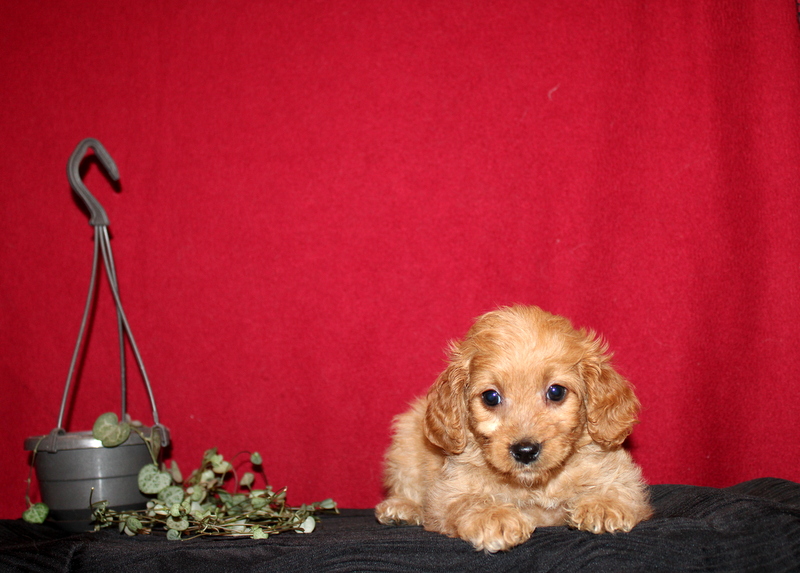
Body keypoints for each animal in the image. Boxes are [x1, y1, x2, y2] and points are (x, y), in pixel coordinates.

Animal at [376, 304, 648, 548]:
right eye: (491, 397)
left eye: (556, 392)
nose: (525, 450)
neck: (534, 485)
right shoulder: (448, 492)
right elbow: (467, 501)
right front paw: (495, 518)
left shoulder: (620, 475)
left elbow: (618, 488)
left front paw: (602, 506)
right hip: (405, 443)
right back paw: (402, 508)